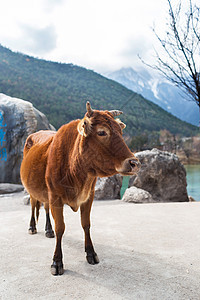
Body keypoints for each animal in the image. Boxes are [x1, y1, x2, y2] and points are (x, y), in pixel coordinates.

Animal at [19, 102, 139, 276]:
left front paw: (91, 253)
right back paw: (32, 227)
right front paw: (57, 261)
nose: (134, 163)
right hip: (32, 189)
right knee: (34, 206)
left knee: (45, 208)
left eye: (121, 131)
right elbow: (60, 227)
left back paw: (48, 230)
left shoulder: (89, 196)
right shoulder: (55, 197)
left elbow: (86, 224)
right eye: (102, 132)